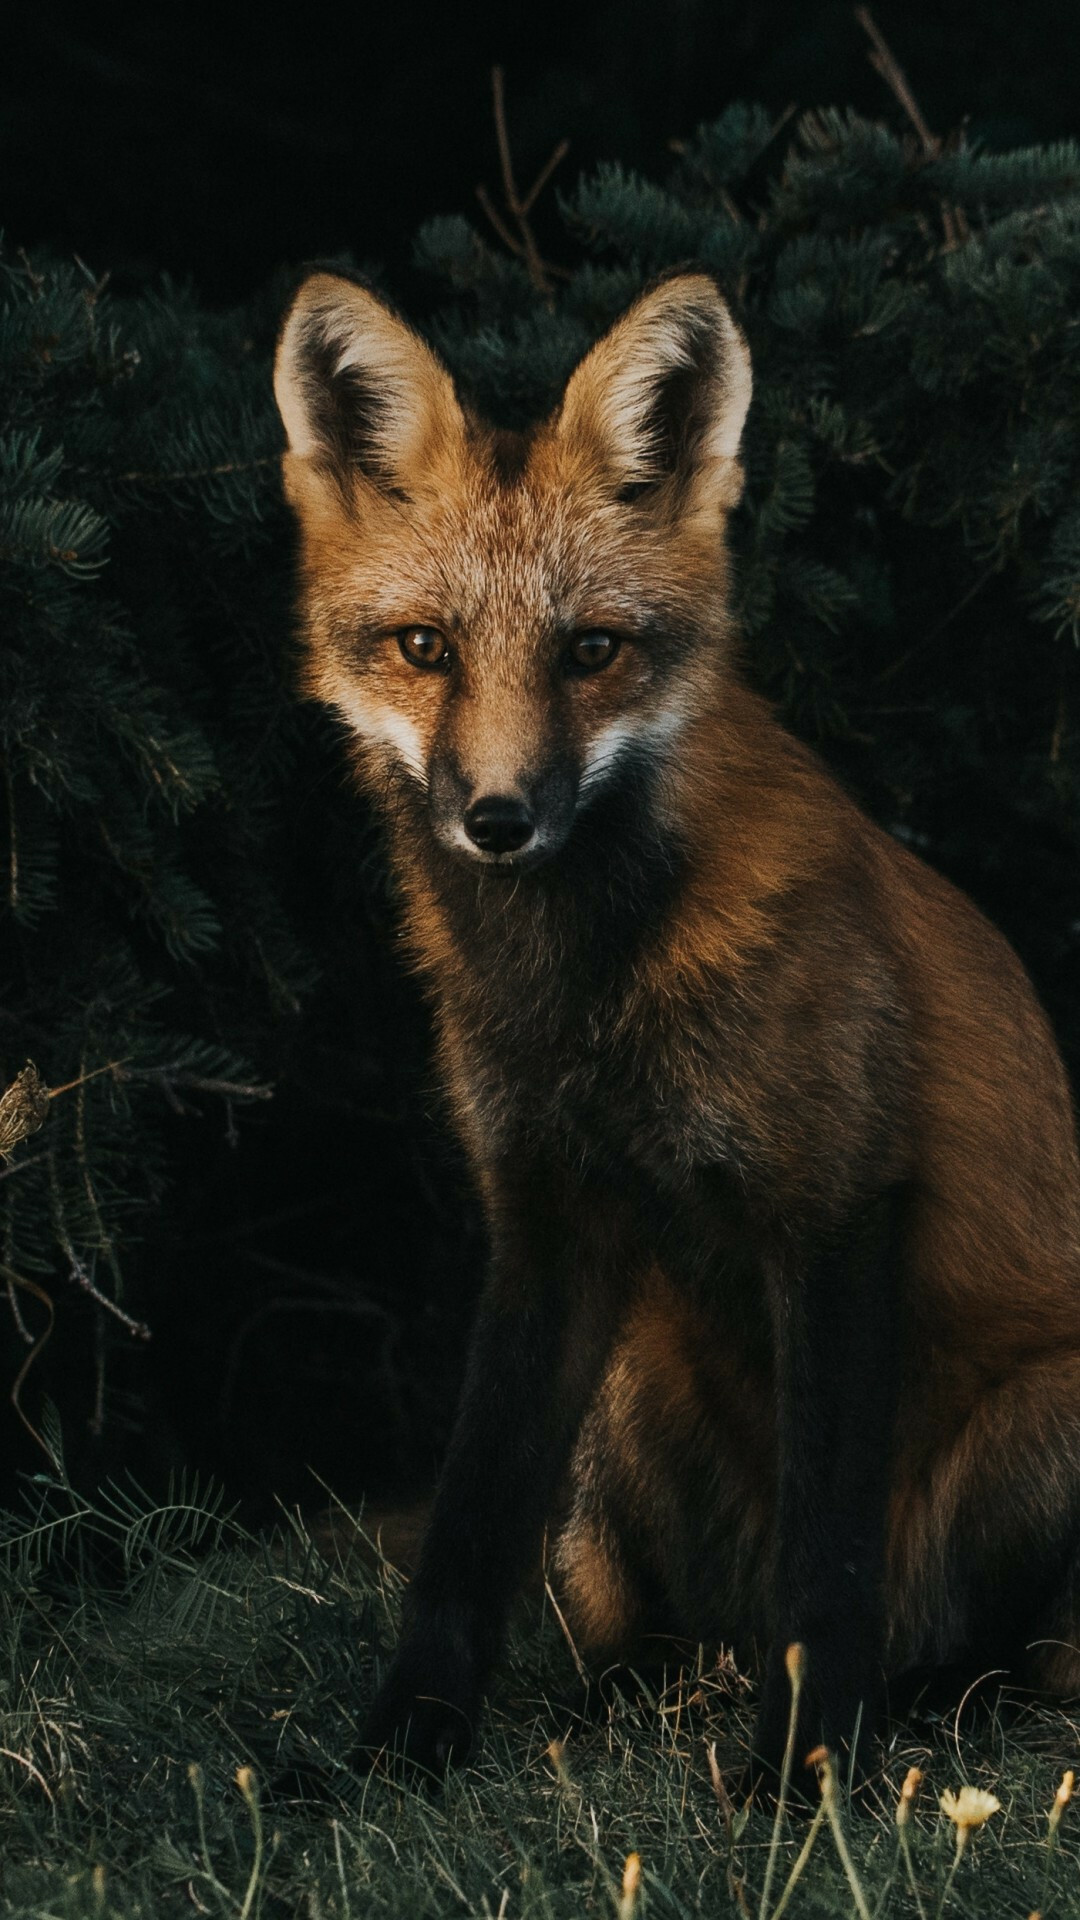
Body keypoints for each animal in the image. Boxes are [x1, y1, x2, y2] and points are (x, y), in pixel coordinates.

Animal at [273, 267, 1080, 1784]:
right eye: (425, 649)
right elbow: (466, 1529)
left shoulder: (837, 1203)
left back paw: (920, 1709)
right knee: (642, 1634)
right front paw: (399, 1751)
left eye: (593, 650)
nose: (499, 820)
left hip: (1041, 1421)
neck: (589, 995)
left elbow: (828, 1559)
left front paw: (805, 1777)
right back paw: (644, 1698)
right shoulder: (542, 1215)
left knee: (984, 1654)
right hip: (631, 1394)